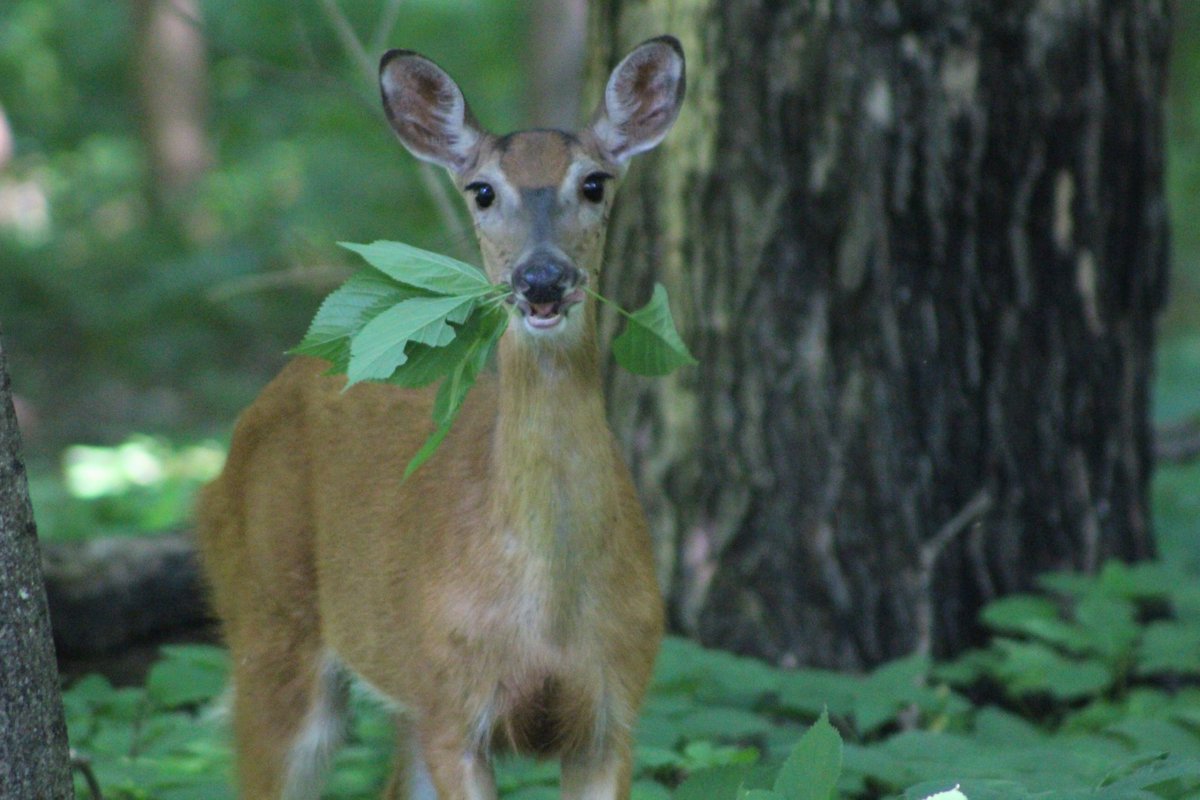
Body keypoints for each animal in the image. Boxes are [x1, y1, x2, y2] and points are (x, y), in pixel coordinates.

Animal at [196, 35, 686, 800]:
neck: (546, 613)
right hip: (265, 614)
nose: (541, 280)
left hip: (401, 689)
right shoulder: (457, 710)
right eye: (481, 190)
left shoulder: (613, 708)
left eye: (595, 183)